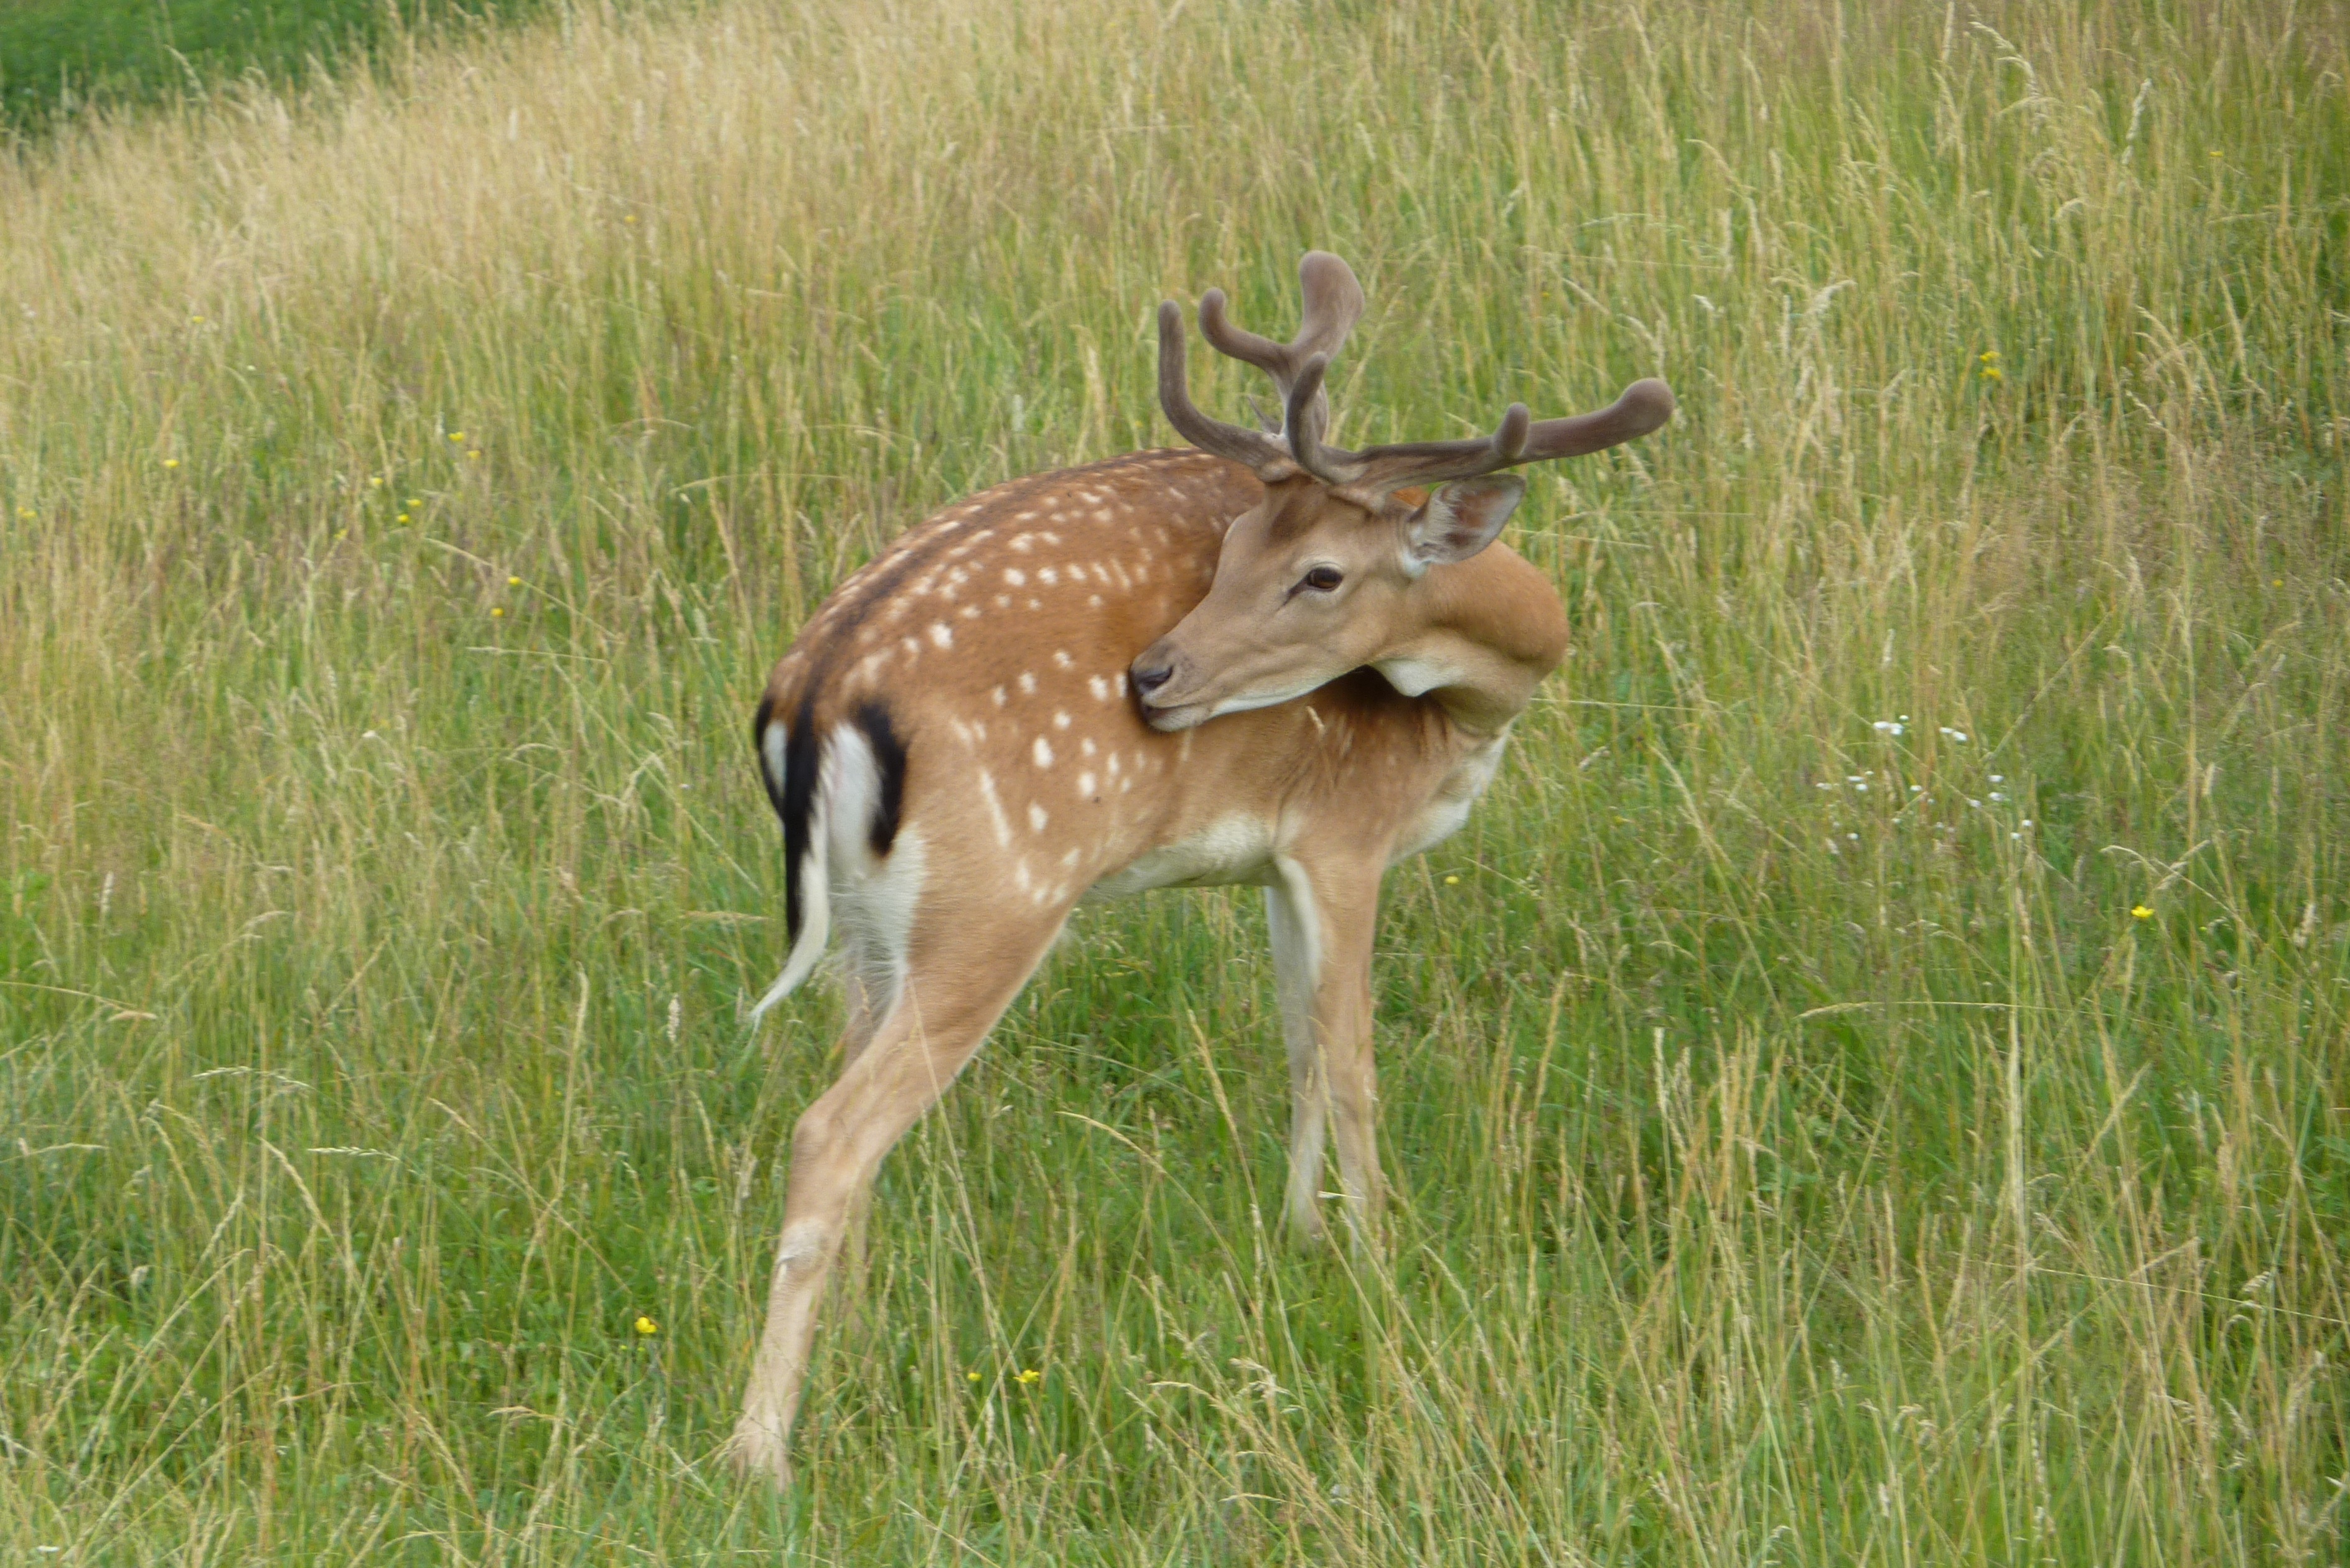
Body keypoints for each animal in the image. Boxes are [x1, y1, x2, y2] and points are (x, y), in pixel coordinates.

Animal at [730, 251, 1672, 1483]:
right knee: (830, 1130)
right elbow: (1354, 1055)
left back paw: (858, 1334)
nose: (1153, 676)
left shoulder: (1273, 859)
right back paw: (760, 1449)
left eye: (1316, 573)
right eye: (1232, 553)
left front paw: (1302, 1234)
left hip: (867, 928)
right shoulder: (1346, 833)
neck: (1477, 706)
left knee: (850, 1104)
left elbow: (1298, 1045)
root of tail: (815, 693)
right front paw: (1379, 1258)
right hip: (997, 902)